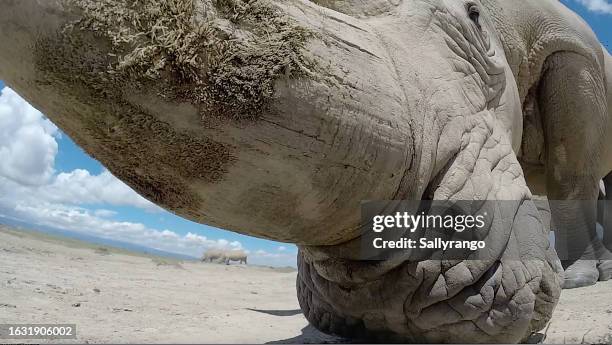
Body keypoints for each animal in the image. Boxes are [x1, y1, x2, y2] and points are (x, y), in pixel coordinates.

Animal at [1, 0, 612, 340]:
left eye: (474, 18)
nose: (381, 312)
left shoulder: (572, 49)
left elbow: (570, 169)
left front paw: (581, 279)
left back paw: (594, 272)